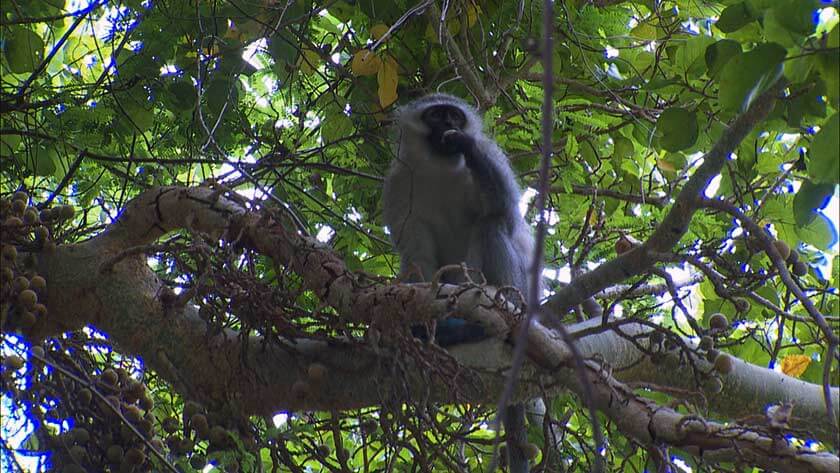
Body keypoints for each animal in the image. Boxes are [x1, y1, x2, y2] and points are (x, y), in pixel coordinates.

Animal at [384, 93, 536, 472]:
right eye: (436, 116)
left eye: (454, 116)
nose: (447, 127)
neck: (439, 169)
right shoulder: (398, 185)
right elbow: (416, 255)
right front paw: (420, 324)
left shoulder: (491, 155)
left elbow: (505, 213)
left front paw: (464, 142)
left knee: (491, 225)